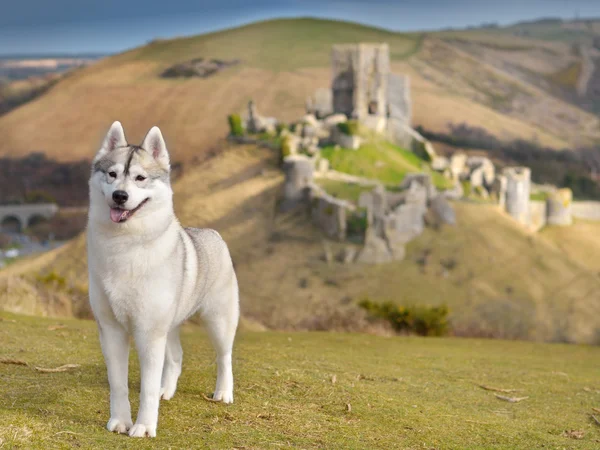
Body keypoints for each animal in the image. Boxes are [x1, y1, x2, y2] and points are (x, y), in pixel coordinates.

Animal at [86, 121, 239, 438]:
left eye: (140, 178)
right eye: (112, 174)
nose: (120, 196)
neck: (125, 246)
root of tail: (213, 233)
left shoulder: (148, 332)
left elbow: (145, 387)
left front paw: (144, 426)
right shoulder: (111, 330)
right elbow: (118, 384)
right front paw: (120, 421)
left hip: (218, 321)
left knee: (224, 357)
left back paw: (223, 392)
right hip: (168, 327)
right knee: (176, 357)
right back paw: (166, 390)